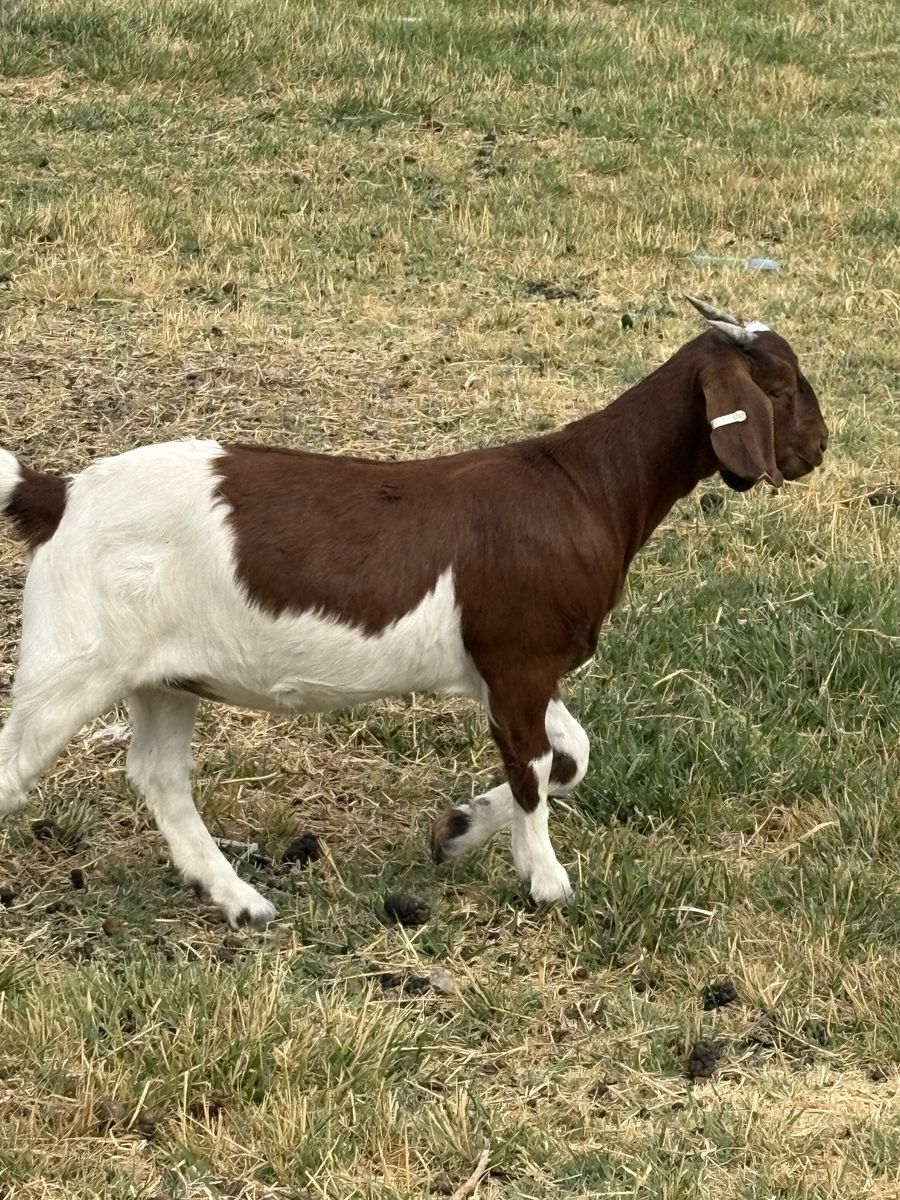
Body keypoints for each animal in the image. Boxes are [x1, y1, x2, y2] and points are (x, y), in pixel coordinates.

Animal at [0, 298, 827, 925]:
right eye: (783, 386)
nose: (819, 448)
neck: (589, 485)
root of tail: (59, 494)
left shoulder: (509, 667)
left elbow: (571, 755)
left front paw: (456, 832)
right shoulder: (520, 659)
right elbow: (534, 768)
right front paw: (547, 883)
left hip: (162, 676)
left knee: (161, 777)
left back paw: (241, 901)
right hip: (72, 659)